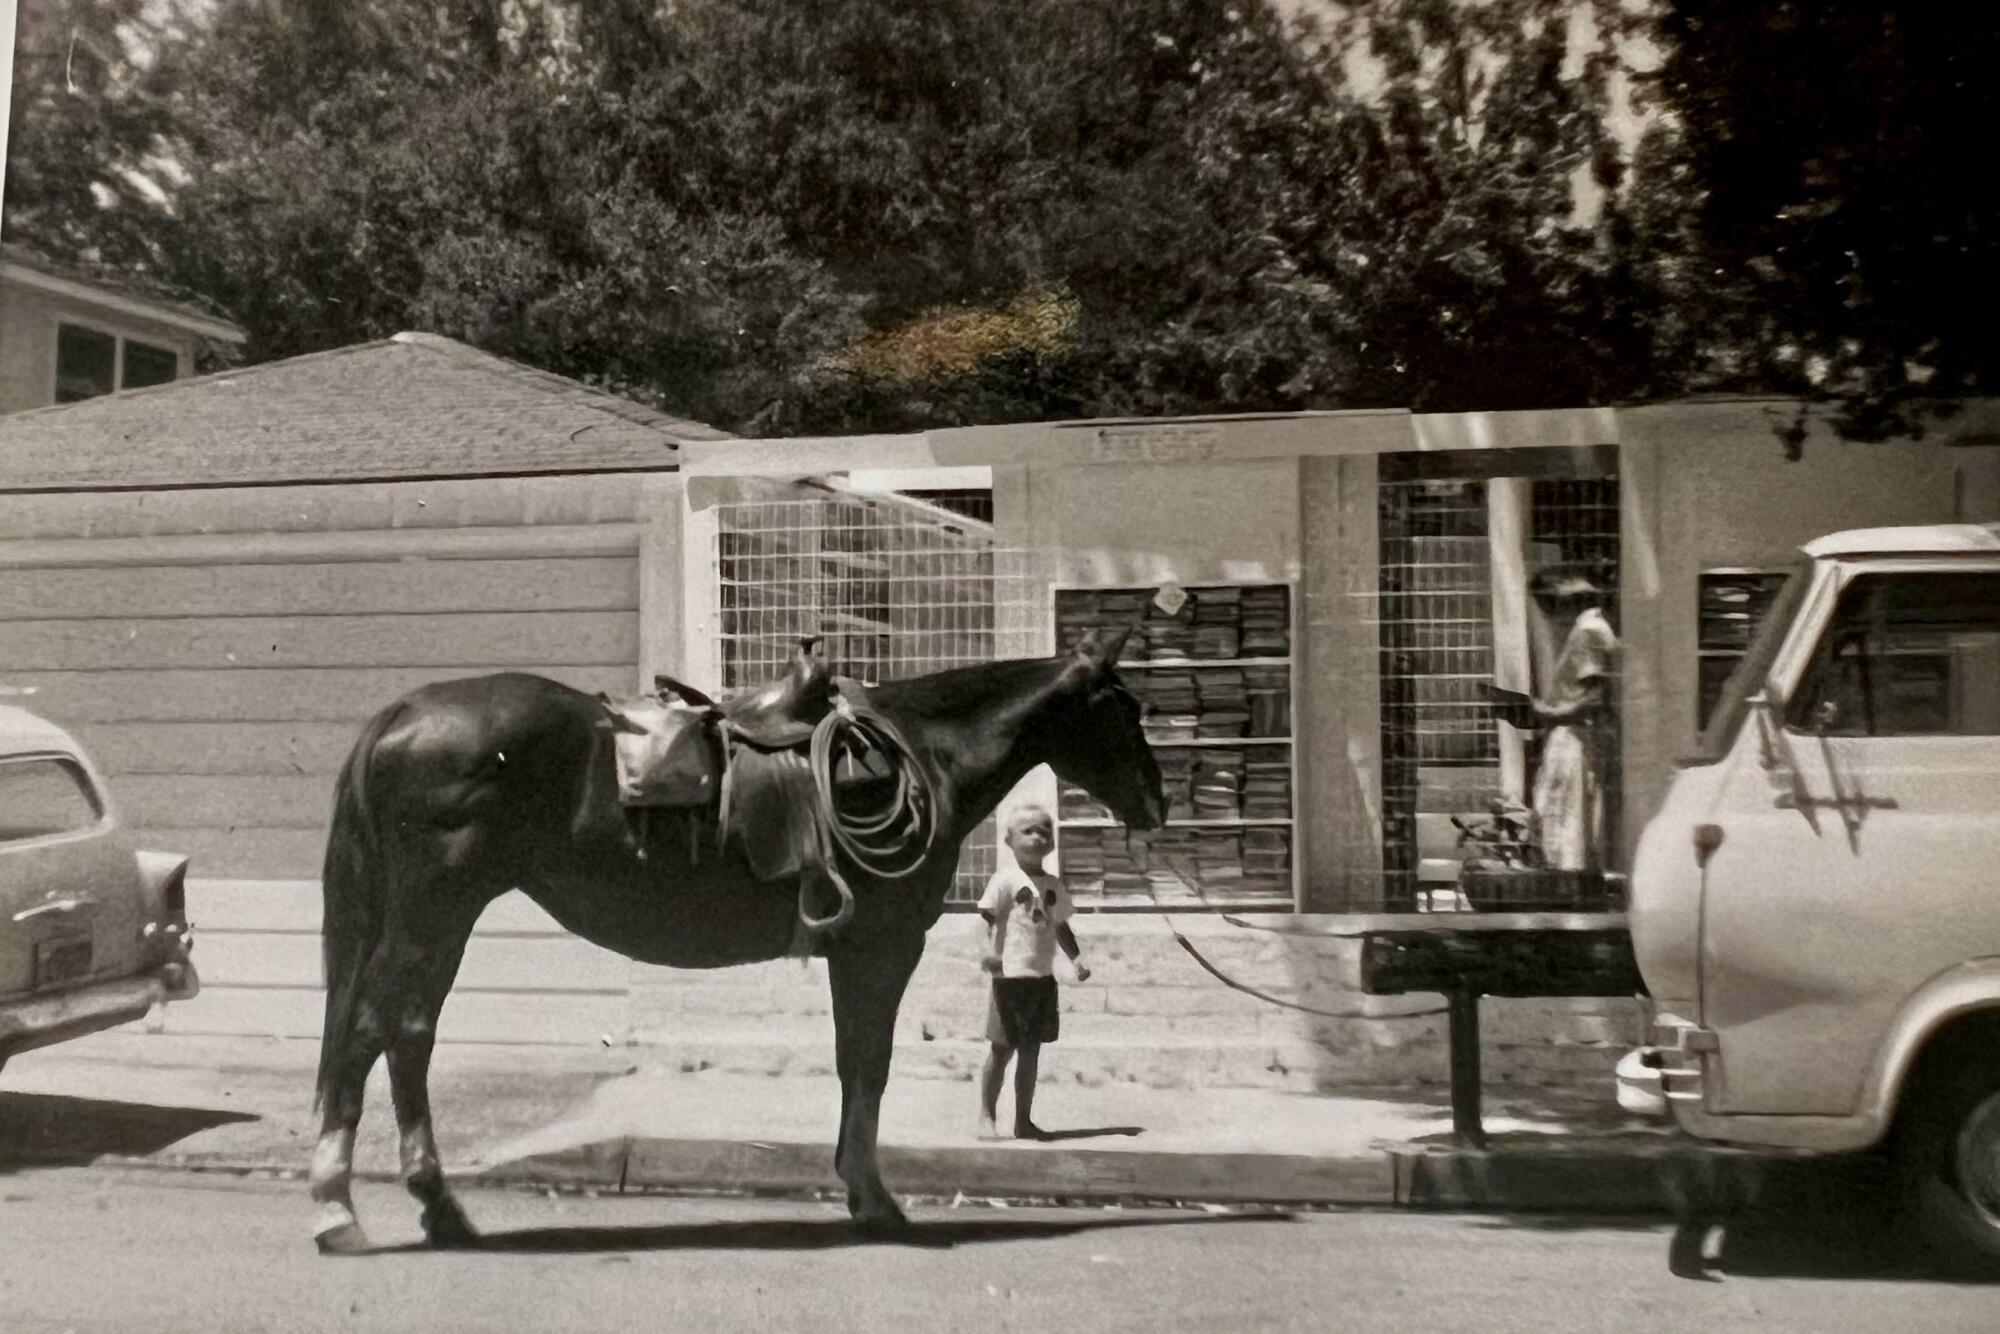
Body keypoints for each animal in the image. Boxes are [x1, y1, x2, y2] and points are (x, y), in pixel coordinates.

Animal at [304, 628, 1168, 1256]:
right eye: (1125, 712)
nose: (1157, 805)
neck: (924, 754)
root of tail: (401, 714)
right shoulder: (881, 948)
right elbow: (869, 1064)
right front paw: (873, 1199)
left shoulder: (860, 952)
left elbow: (857, 1065)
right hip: (434, 912)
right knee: (384, 1031)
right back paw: (346, 1208)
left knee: (395, 1036)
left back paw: (416, 1207)